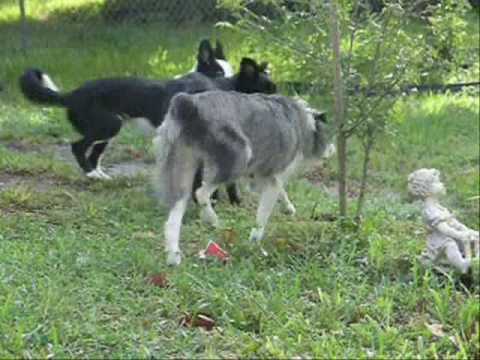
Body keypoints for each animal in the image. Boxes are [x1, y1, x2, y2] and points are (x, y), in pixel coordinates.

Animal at [18, 58, 276, 180]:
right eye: (268, 90)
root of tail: (72, 94)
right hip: (109, 125)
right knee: (77, 147)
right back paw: (91, 174)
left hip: (109, 129)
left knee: (93, 154)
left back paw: (100, 175)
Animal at [154, 90, 334, 264]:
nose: (333, 150)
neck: (305, 122)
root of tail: (188, 103)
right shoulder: (271, 177)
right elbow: (263, 213)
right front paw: (255, 241)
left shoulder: (261, 175)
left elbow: (281, 191)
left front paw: (288, 208)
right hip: (237, 157)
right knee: (201, 193)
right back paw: (213, 221)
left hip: (182, 164)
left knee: (174, 216)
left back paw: (174, 257)